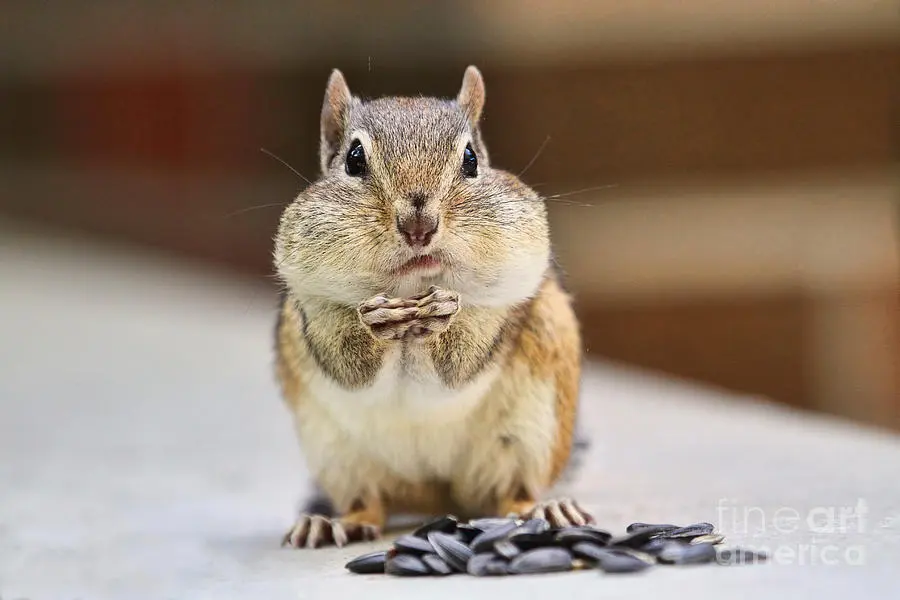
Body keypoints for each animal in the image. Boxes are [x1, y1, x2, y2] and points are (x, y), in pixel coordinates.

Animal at [273, 66, 590, 549]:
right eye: (354, 159)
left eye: (471, 160)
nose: (418, 224)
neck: (412, 292)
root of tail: (433, 494)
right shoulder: (309, 308)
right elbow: (347, 363)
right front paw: (375, 323)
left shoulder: (510, 297)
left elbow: (464, 359)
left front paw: (444, 316)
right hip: (338, 455)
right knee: (370, 503)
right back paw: (332, 523)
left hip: (532, 433)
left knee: (512, 492)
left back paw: (542, 509)